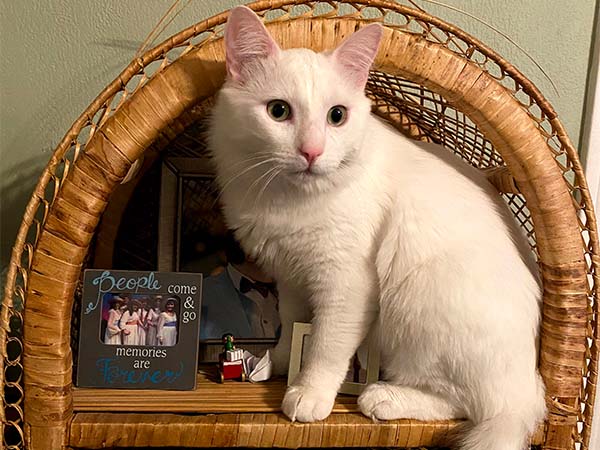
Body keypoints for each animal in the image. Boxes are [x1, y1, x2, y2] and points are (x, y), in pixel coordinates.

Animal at [209, 7, 548, 450]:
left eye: (337, 116)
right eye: (278, 111)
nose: (312, 152)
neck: (287, 199)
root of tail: (532, 383)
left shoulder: (345, 283)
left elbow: (326, 345)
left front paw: (308, 394)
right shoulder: (291, 276)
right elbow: (292, 323)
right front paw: (281, 363)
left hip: (418, 307)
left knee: (470, 405)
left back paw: (382, 397)